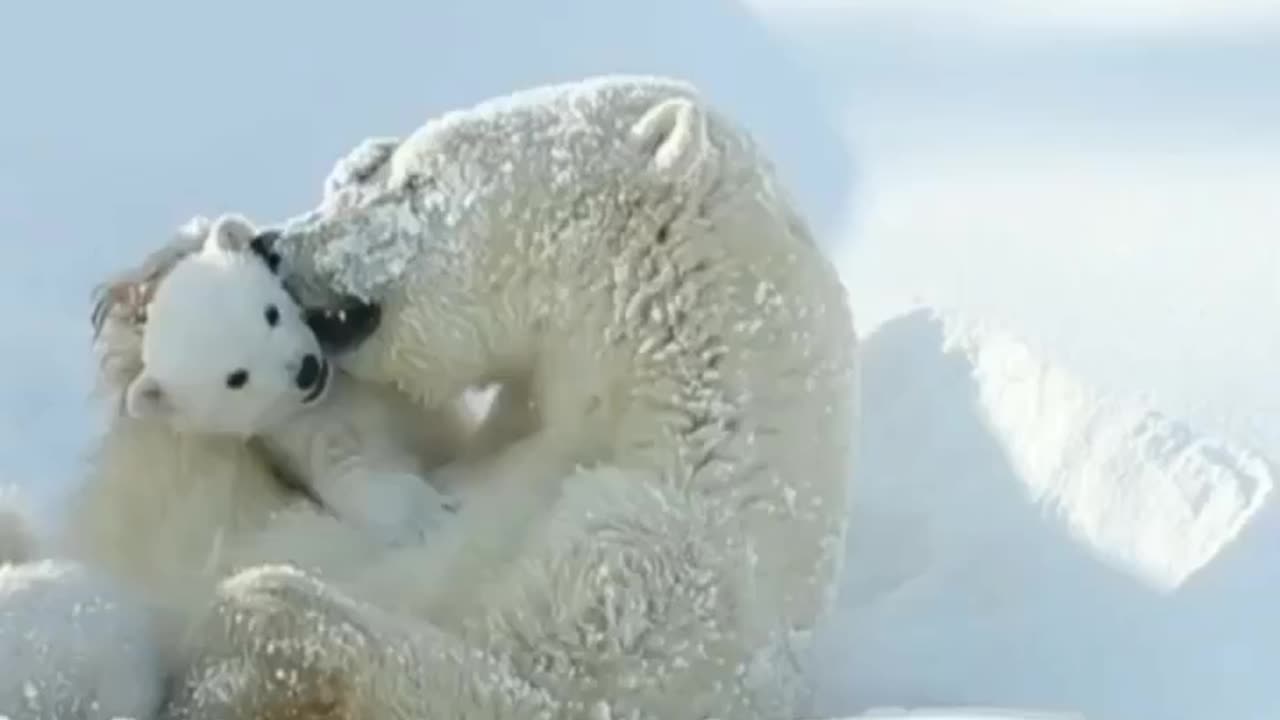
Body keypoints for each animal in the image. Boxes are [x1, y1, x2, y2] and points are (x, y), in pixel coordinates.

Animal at [165, 74, 855, 717]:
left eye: (415, 179)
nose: (271, 245)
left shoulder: (661, 565)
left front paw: (235, 644)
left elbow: (530, 680)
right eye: (385, 169)